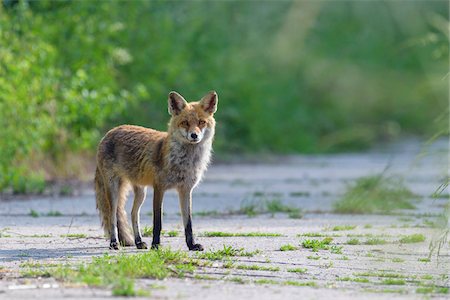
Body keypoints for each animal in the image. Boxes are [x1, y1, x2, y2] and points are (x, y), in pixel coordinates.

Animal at [94, 91, 217, 251]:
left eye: (202, 122)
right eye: (185, 123)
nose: (194, 135)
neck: (185, 162)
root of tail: (109, 133)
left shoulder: (185, 190)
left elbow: (188, 223)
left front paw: (191, 245)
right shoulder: (159, 188)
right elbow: (157, 222)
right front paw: (156, 245)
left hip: (141, 192)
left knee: (133, 213)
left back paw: (139, 241)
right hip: (113, 190)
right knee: (112, 216)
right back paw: (114, 242)